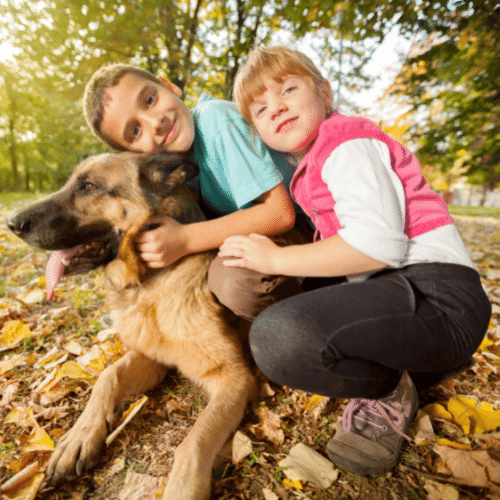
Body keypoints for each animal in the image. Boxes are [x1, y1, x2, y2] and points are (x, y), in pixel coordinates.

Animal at [7, 151, 262, 500]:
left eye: (89, 187)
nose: (11, 223)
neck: (152, 280)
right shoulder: (152, 359)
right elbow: (107, 377)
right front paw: (80, 436)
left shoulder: (234, 379)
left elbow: (194, 440)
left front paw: (182, 488)